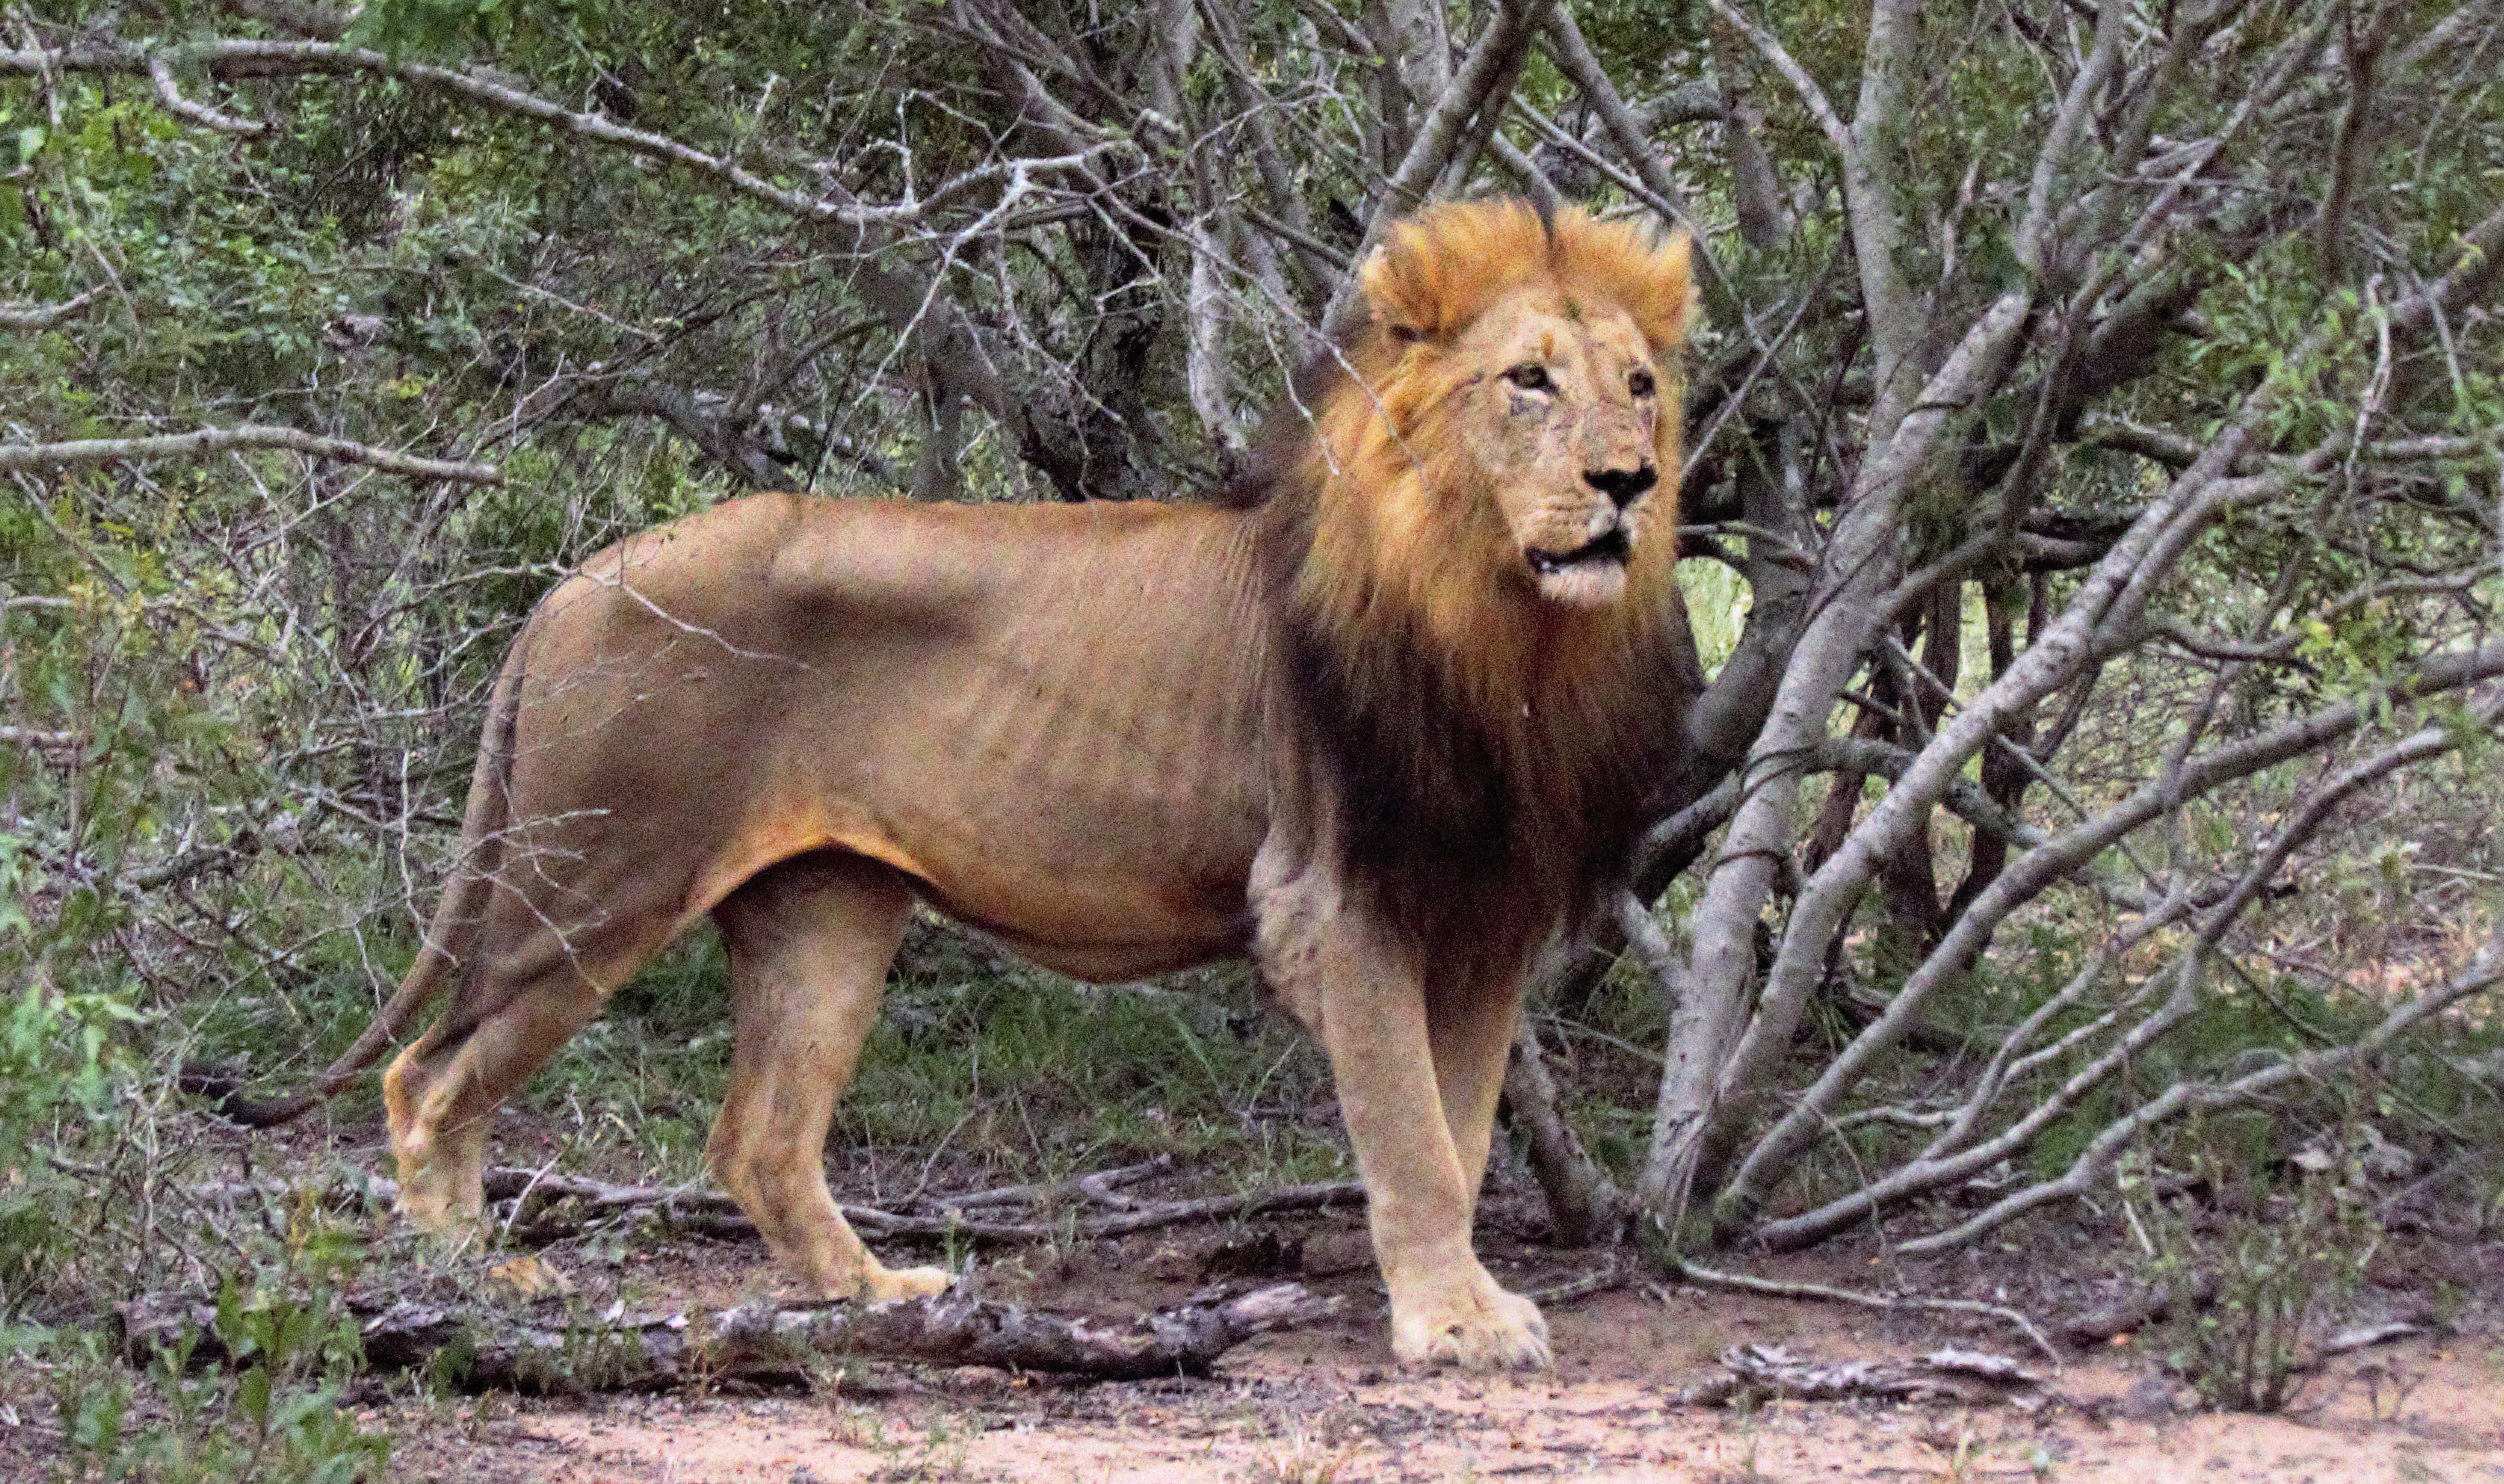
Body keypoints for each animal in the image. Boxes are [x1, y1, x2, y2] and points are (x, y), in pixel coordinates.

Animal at [274, 199, 1701, 1371]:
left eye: (1639, 386)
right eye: (1528, 382)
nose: (1627, 481)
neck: (1506, 638)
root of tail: (571, 583)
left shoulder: (1479, 917)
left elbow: (1457, 1132)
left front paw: (1462, 1298)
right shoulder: (1336, 901)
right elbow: (1411, 1133)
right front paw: (1452, 1324)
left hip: (825, 906)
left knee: (758, 1136)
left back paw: (880, 1295)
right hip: (593, 884)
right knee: (427, 1078)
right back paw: (475, 1280)